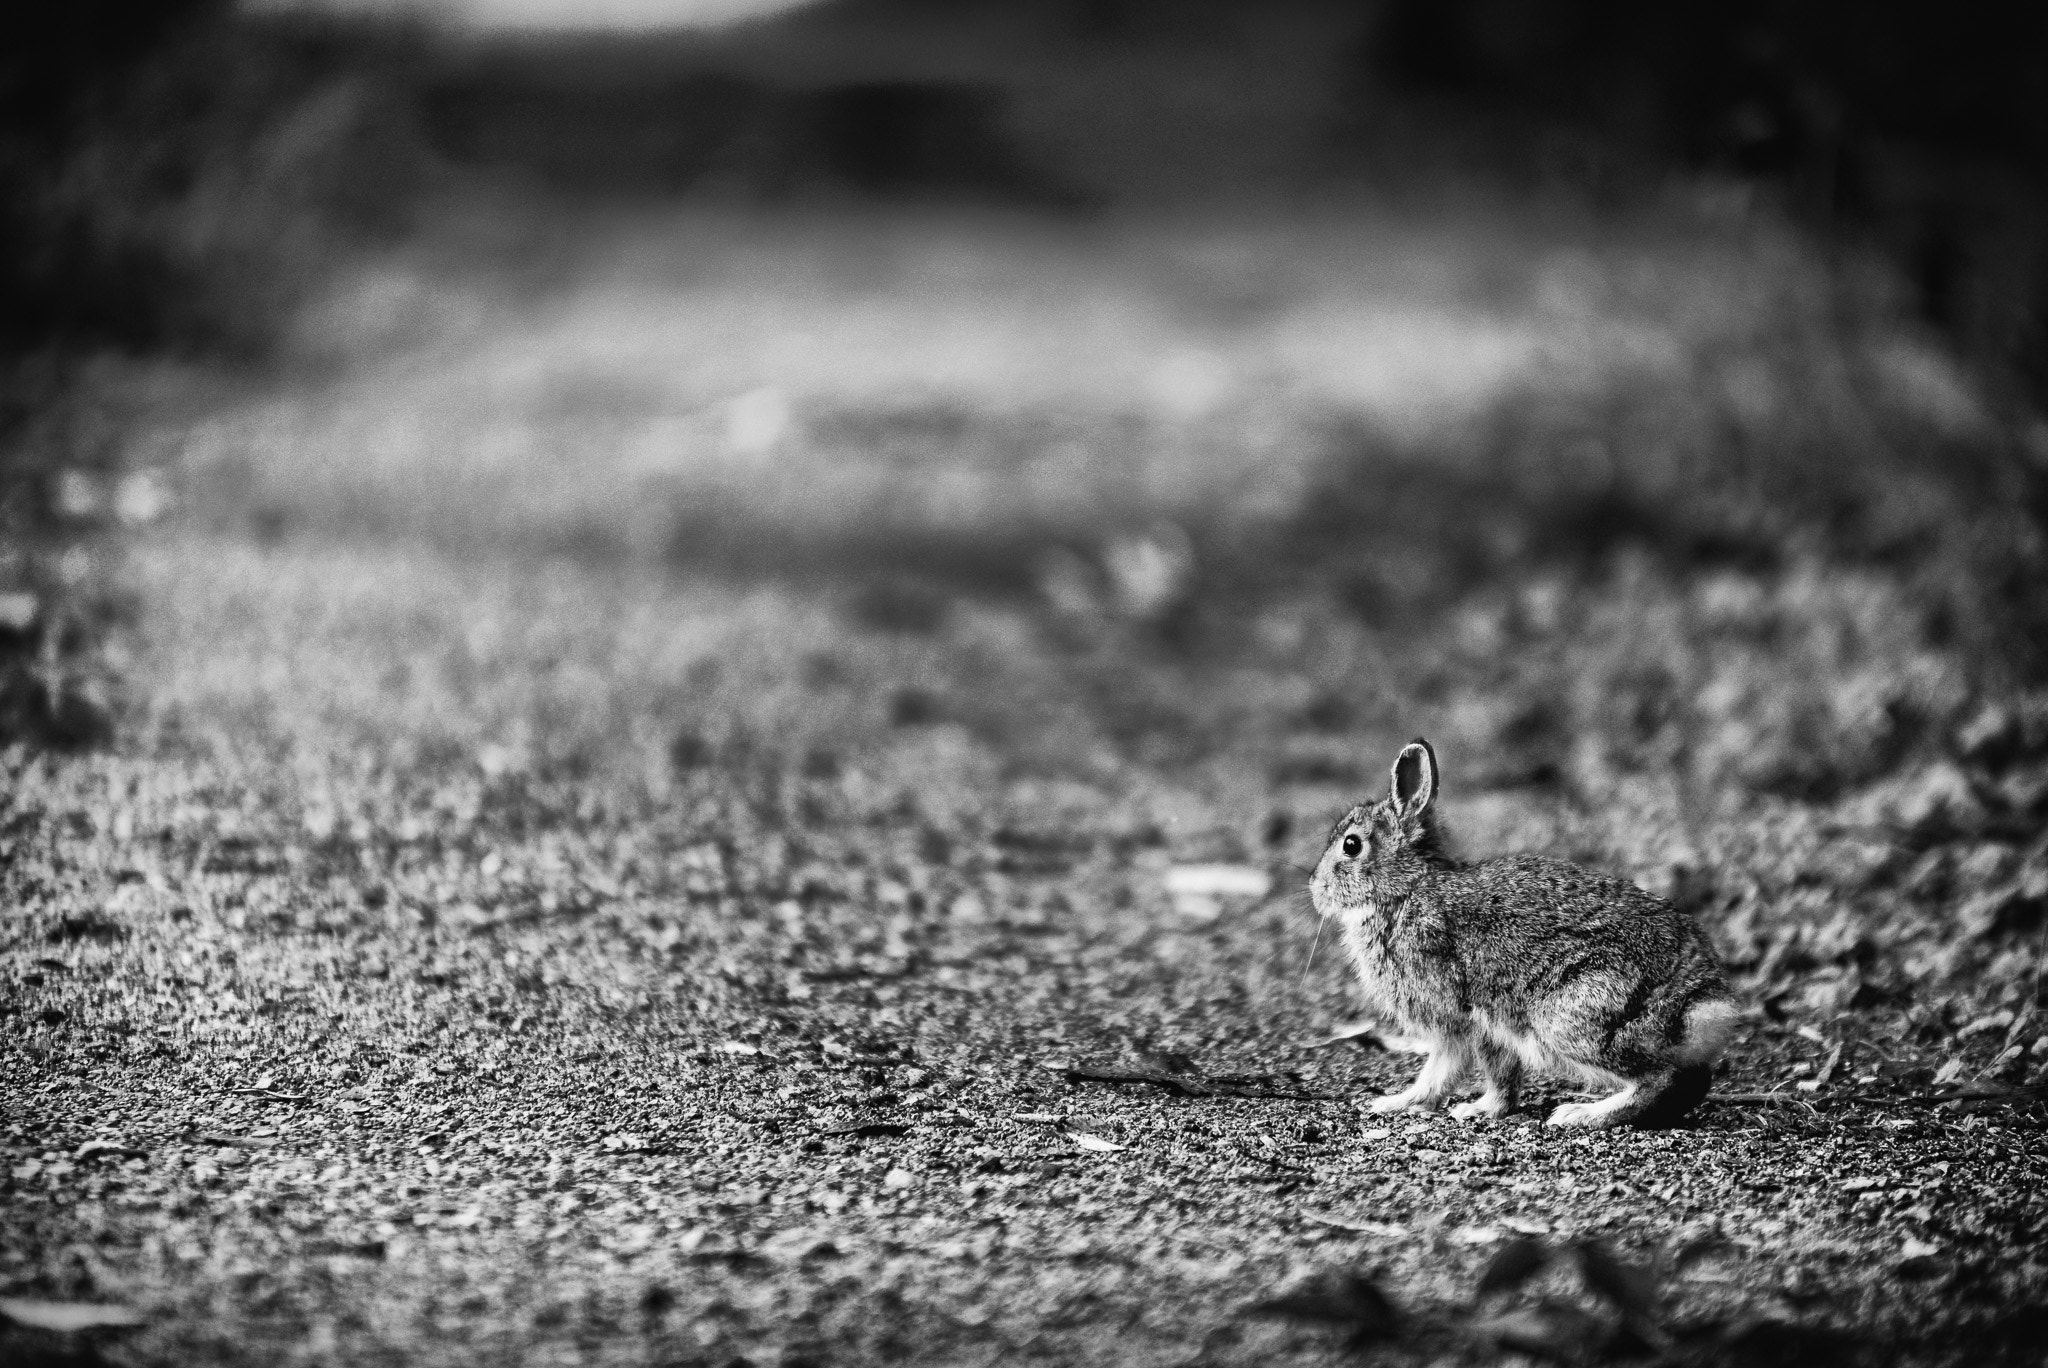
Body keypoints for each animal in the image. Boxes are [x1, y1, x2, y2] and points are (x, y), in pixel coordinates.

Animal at [1309, 739, 1739, 1129]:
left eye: (1351, 845)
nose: (1315, 889)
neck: (1405, 890)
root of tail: (1698, 1000)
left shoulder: (1463, 1018)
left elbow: (1459, 1072)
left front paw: (1458, 1109)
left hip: (1577, 1015)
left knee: (1661, 1079)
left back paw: (1579, 1115)